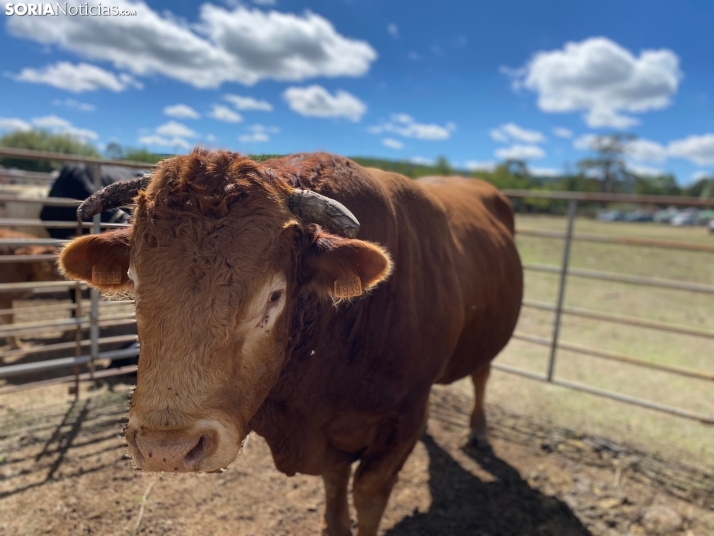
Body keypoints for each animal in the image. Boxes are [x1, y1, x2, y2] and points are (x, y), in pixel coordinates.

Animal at [58, 151, 524, 536]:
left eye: (274, 296)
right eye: (135, 283)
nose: (166, 448)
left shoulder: (401, 423)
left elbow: (368, 497)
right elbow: (336, 495)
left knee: (482, 374)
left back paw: (479, 430)